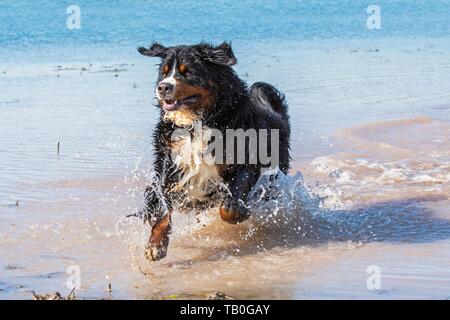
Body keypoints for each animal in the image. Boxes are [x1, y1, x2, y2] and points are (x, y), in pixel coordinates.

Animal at [137, 42, 290, 260]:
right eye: (163, 73)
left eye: (188, 72)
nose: (163, 87)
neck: (197, 122)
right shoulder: (169, 165)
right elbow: (162, 209)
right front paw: (155, 244)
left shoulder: (246, 161)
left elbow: (231, 200)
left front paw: (237, 213)